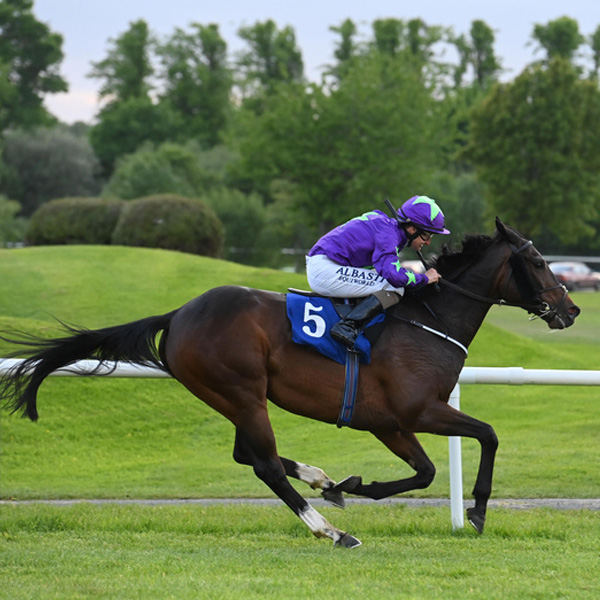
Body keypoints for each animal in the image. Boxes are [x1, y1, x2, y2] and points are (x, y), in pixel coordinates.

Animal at [1, 220, 580, 548]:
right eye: (536, 260)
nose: (571, 309)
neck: (428, 319)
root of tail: (180, 313)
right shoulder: (417, 411)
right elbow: (487, 435)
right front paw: (477, 511)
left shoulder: (389, 423)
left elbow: (426, 472)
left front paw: (351, 485)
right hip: (240, 391)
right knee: (263, 465)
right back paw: (331, 531)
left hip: (235, 397)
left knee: (249, 455)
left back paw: (322, 481)